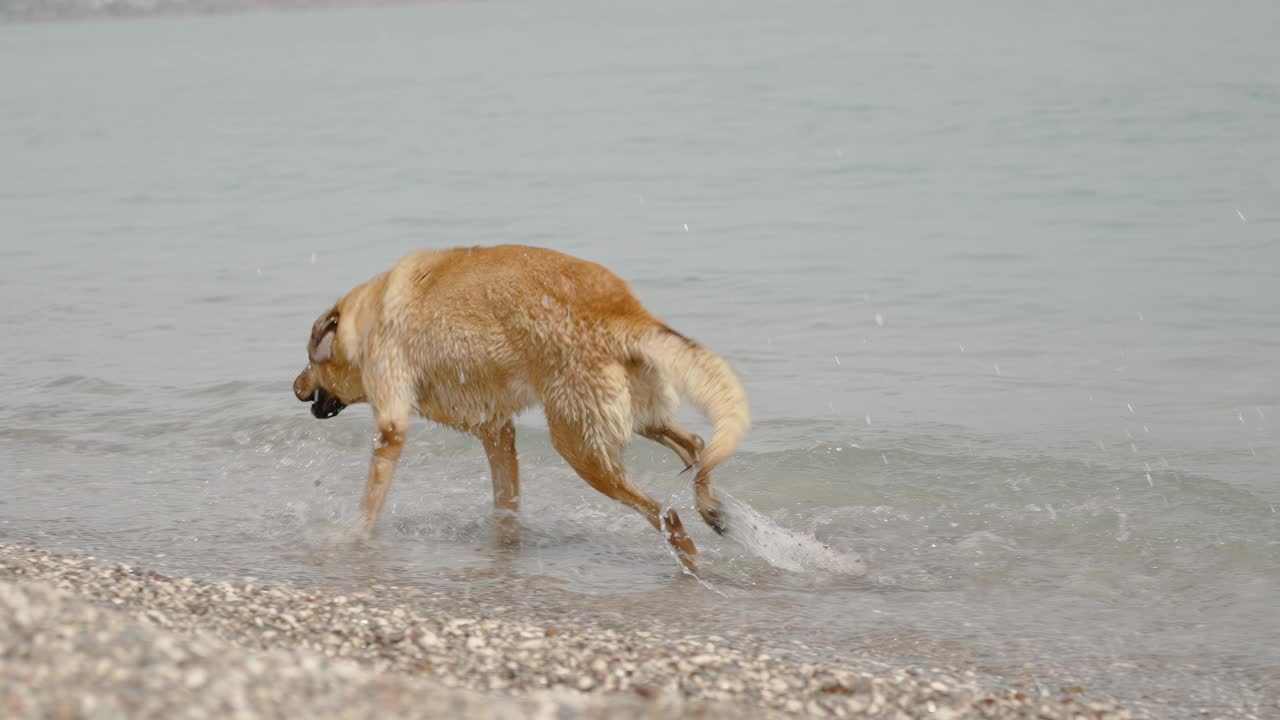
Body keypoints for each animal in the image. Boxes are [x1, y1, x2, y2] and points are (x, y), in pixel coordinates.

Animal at [290, 243, 747, 568]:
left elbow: (370, 501)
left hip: (580, 446)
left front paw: (352, 538)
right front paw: (504, 548)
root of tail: (624, 313)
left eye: (310, 359)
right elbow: (505, 501)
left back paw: (692, 557)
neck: (368, 318)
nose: (294, 388)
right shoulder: (496, 431)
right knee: (695, 444)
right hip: (634, 419)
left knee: (666, 514)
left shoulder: (391, 427)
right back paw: (709, 508)